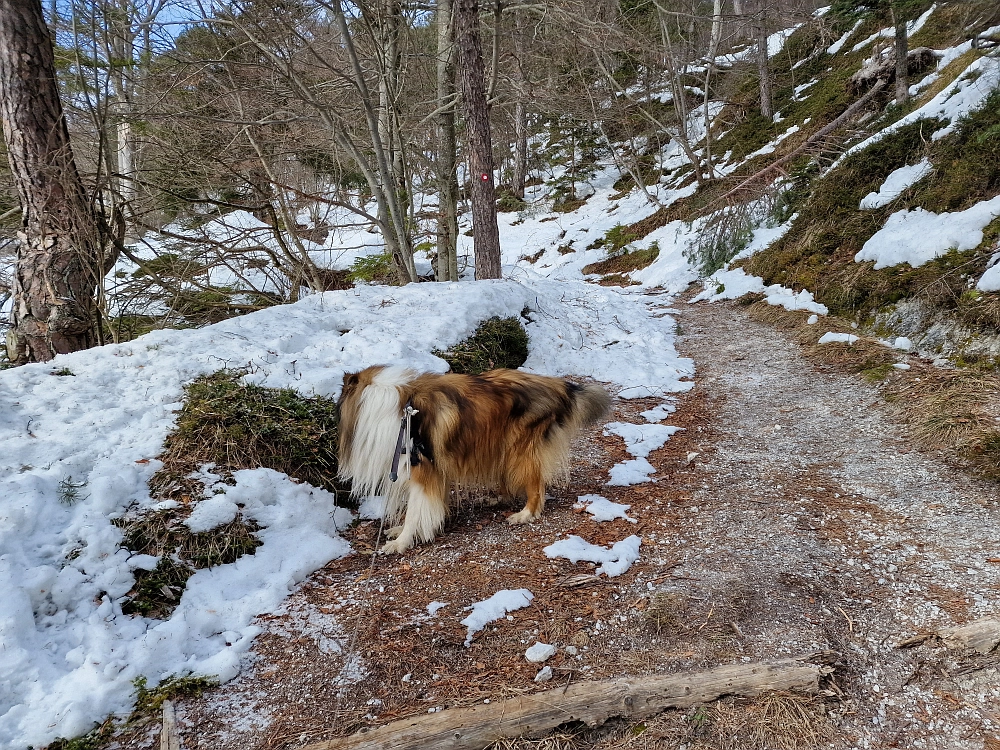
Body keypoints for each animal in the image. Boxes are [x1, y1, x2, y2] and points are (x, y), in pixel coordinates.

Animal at [340, 368, 612, 556]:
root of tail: (557, 385)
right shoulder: (432, 470)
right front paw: (402, 531)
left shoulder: (422, 471)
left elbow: (415, 512)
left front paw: (400, 542)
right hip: (500, 447)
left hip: (519, 451)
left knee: (536, 487)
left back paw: (524, 514)